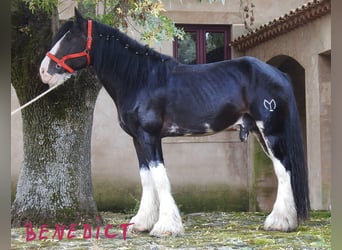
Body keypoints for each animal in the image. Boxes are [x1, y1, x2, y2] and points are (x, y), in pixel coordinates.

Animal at [38, 8, 308, 237]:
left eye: (70, 39)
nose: (43, 72)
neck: (140, 79)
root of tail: (278, 73)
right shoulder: (137, 139)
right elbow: (146, 177)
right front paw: (141, 223)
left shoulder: (150, 136)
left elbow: (159, 177)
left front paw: (166, 227)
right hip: (261, 133)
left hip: (271, 131)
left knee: (283, 170)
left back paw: (279, 222)